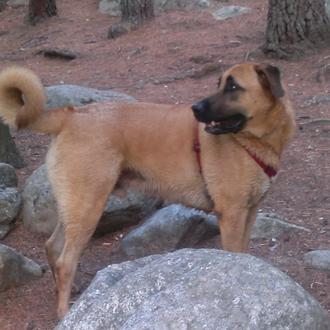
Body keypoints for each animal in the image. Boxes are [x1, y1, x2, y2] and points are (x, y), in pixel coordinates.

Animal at [0, 62, 296, 318]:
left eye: (232, 86)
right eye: (220, 84)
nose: (195, 108)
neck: (251, 141)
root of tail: (71, 114)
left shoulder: (250, 211)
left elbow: (245, 252)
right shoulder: (232, 215)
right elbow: (235, 255)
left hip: (75, 207)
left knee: (53, 246)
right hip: (88, 209)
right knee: (65, 261)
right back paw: (64, 313)